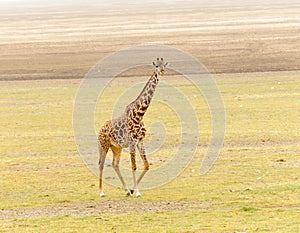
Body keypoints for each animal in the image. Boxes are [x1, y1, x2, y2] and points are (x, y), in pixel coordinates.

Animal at [98, 57, 169, 198]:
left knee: (115, 164)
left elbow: (146, 165)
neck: (139, 114)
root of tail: (100, 130)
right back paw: (101, 192)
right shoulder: (132, 142)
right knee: (101, 164)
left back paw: (126, 191)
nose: (162, 72)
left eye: (165, 65)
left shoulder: (140, 141)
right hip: (104, 145)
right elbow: (134, 166)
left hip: (116, 147)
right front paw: (137, 192)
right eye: (156, 66)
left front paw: (132, 189)